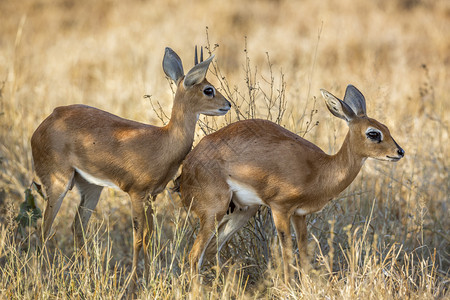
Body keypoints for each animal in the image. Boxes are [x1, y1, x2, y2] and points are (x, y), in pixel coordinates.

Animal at [30, 47, 232, 290]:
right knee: (44, 229)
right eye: (208, 89)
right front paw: (134, 284)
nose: (228, 104)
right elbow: (137, 238)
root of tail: (45, 123)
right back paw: (43, 279)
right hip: (58, 184)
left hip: (91, 188)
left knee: (77, 227)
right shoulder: (136, 194)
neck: (163, 141)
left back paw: (87, 274)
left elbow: (149, 237)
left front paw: (149, 278)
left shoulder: (152, 197)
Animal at [179, 84, 404, 284]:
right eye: (373, 133)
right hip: (214, 213)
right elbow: (287, 254)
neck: (320, 169)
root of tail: (188, 164)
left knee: (209, 251)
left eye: (386, 128)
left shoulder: (299, 215)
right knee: (193, 255)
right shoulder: (280, 209)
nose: (399, 152)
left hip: (244, 211)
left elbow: (303, 253)